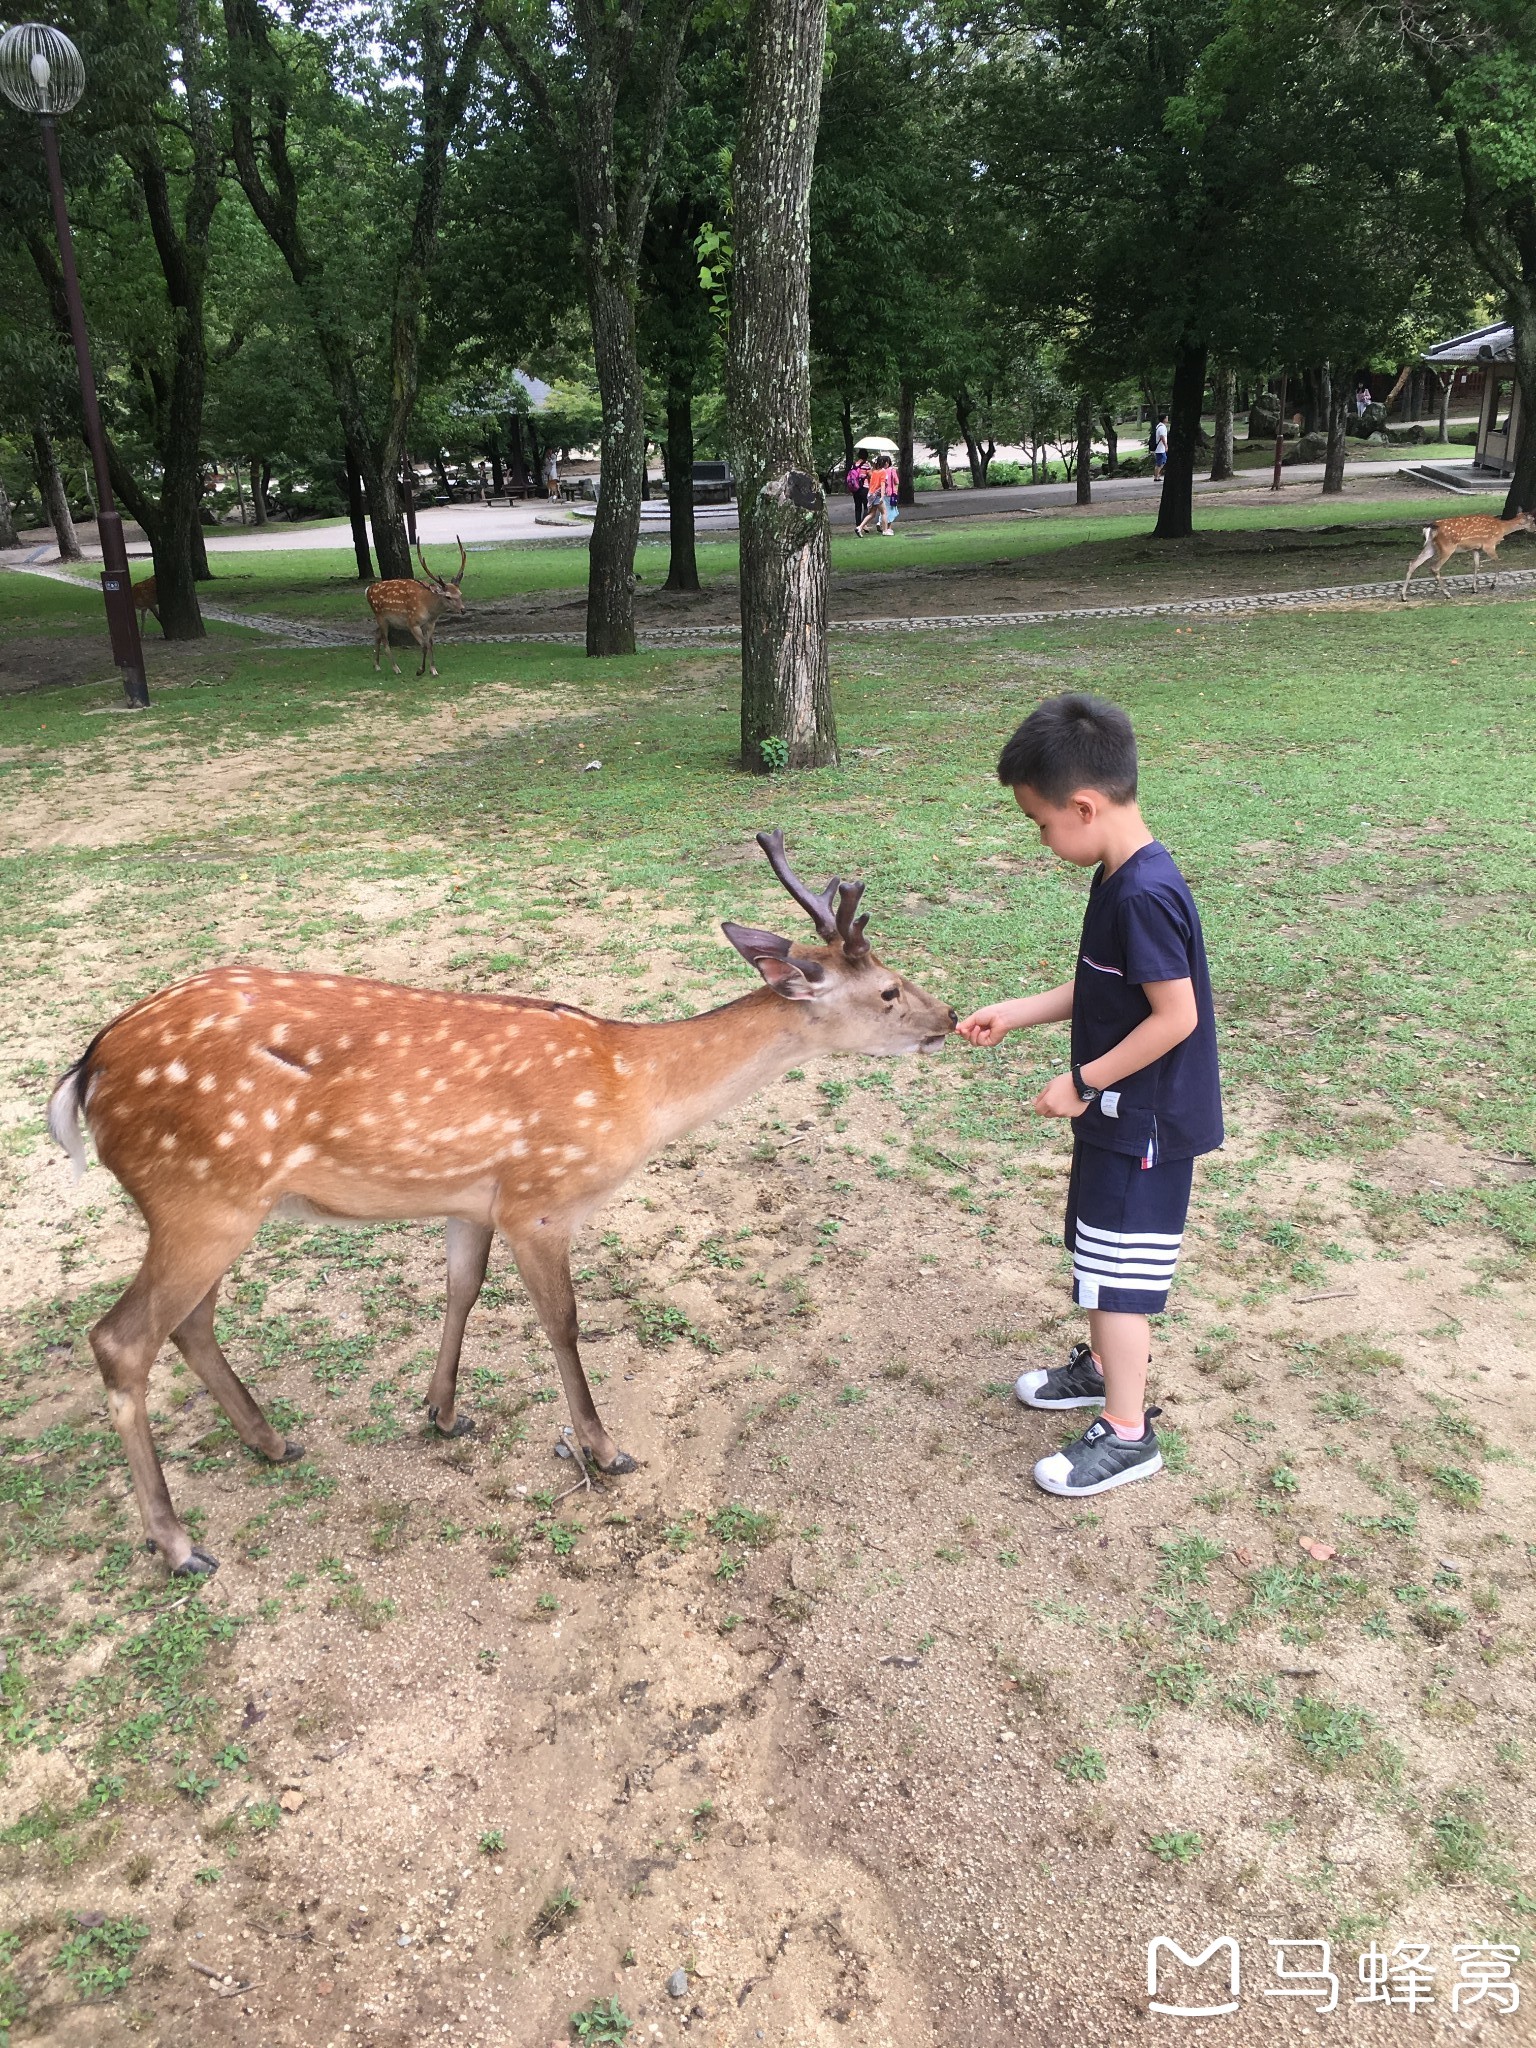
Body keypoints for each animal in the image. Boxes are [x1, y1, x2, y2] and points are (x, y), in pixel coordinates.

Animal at [48, 827, 958, 1564]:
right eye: (887, 990)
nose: (948, 1016)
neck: (632, 1092)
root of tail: (87, 1068)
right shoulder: (540, 1198)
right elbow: (563, 1322)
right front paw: (604, 1449)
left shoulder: (471, 1200)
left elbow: (462, 1289)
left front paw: (443, 1412)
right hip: (201, 1197)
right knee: (122, 1339)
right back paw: (177, 1544)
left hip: (215, 1205)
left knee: (188, 1322)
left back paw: (273, 1443)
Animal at [368, 536, 468, 671]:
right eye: (448, 596)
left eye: (460, 593)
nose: (463, 610)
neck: (429, 609)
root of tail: (368, 590)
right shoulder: (412, 622)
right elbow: (424, 645)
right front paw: (421, 670)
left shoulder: (431, 623)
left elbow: (430, 644)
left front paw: (433, 670)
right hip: (379, 615)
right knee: (385, 640)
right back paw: (396, 668)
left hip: (386, 620)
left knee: (377, 634)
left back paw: (377, 665)